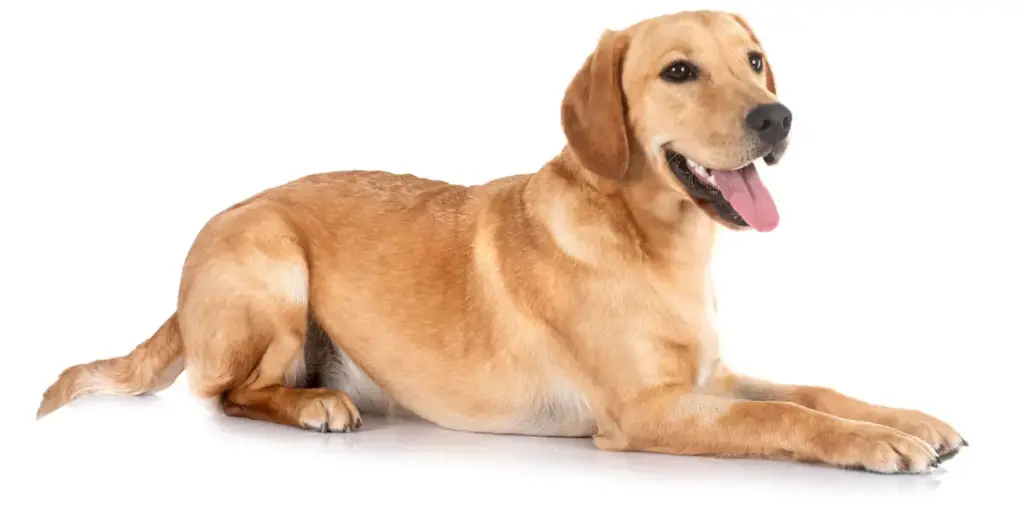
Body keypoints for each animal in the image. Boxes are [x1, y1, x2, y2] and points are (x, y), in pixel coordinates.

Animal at [37, 9, 966, 473]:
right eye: (679, 71)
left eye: (755, 60)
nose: (778, 118)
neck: (652, 243)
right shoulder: (650, 410)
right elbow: (785, 414)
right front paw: (876, 443)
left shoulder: (710, 378)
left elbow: (814, 389)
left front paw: (908, 417)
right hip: (274, 268)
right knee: (228, 393)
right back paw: (314, 406)